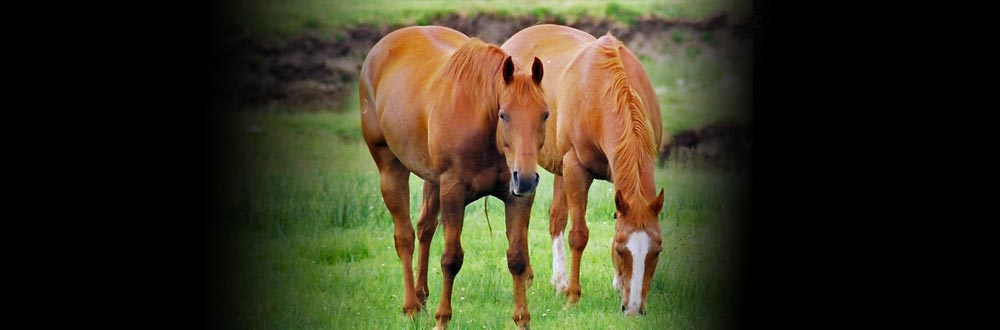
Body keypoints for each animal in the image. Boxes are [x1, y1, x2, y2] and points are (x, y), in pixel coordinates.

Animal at [360, 26, 548, 330]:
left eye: (544, 115)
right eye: (504, 115)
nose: (527, 179)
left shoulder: (516, 197)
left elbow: (518, 257)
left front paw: (523, 320)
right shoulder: (453, 191)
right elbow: (451, 258)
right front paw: (442, 319)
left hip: (432, 180)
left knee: (425, 228)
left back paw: (421, 296)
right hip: (390, 169)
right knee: (405, 237)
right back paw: (411, 306)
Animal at [500, 24, 664, 316]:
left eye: (656, 251)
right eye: (621, 250)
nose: (634, 309)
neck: (604, 90)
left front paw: (617, 282)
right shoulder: (576, 168)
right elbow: (578, 235)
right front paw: (573, 297)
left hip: (559, 169)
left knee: (555, 218)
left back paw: (559, 280)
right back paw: (534, 277)